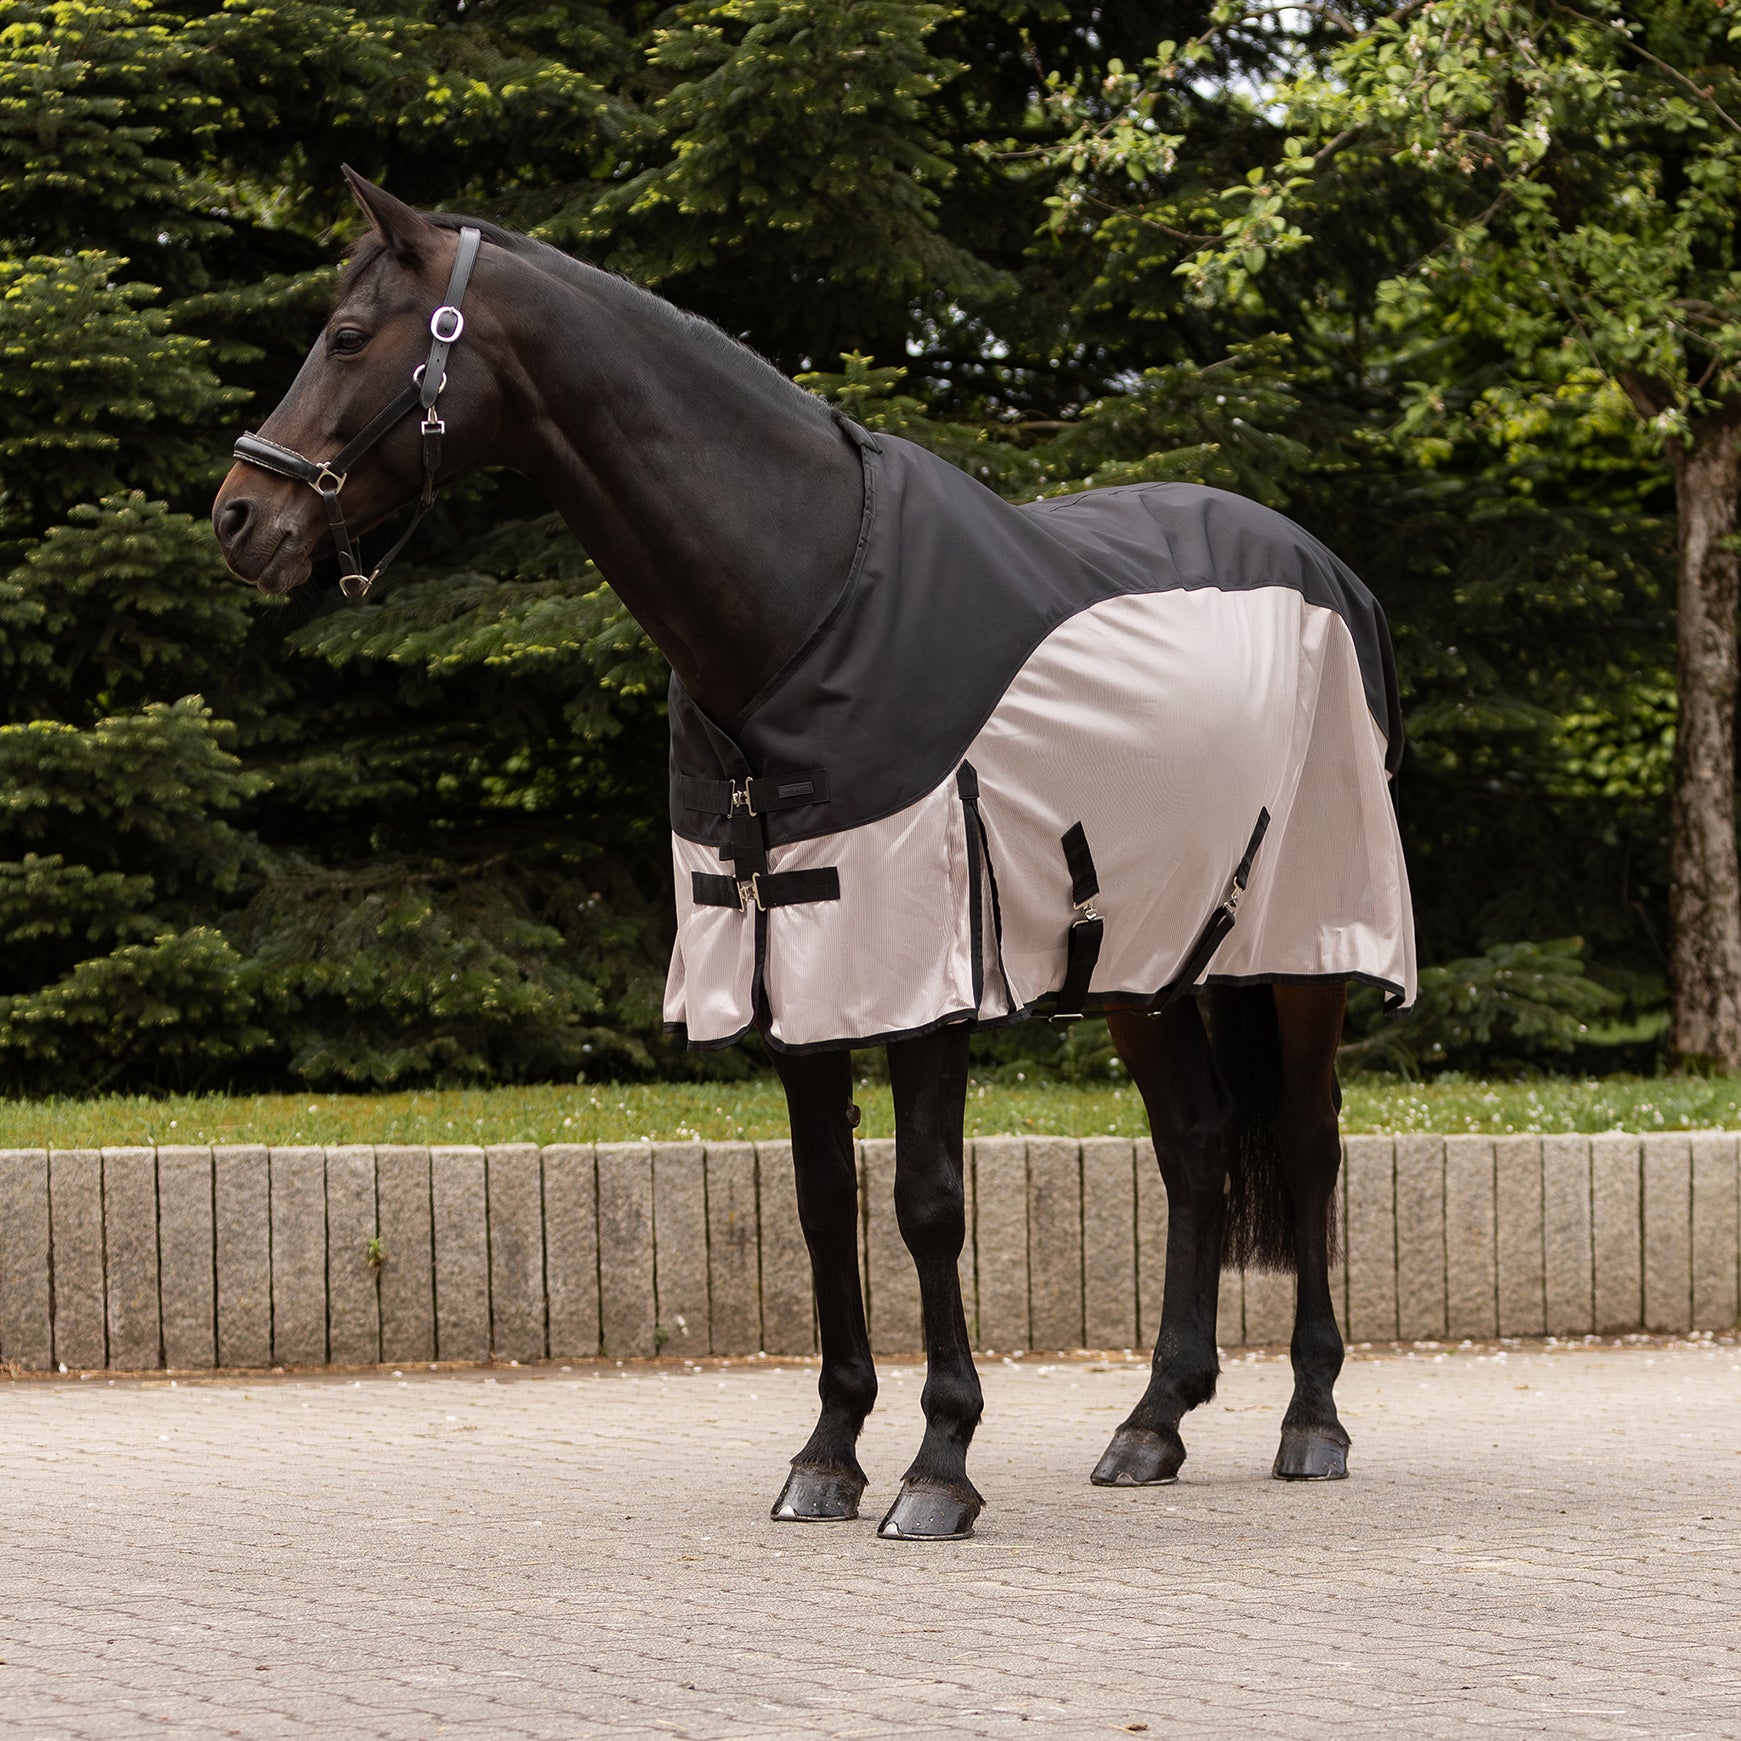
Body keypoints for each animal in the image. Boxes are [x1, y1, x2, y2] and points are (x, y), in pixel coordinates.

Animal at [213, 170, 1416, 1542]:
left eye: (349, 335)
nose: (240, 517)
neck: (798, 603)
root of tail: (1327, 569)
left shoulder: (921, 971)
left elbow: (926, 1205)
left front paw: (939, 1464)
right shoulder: (789, 960)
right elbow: (819, 1199)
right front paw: (829, 1452)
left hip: (1304, 943)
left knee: (1309, 1146)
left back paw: (1311, 1422)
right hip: (1144, 955)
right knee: (1198, 1143)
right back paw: (1151, 1424)